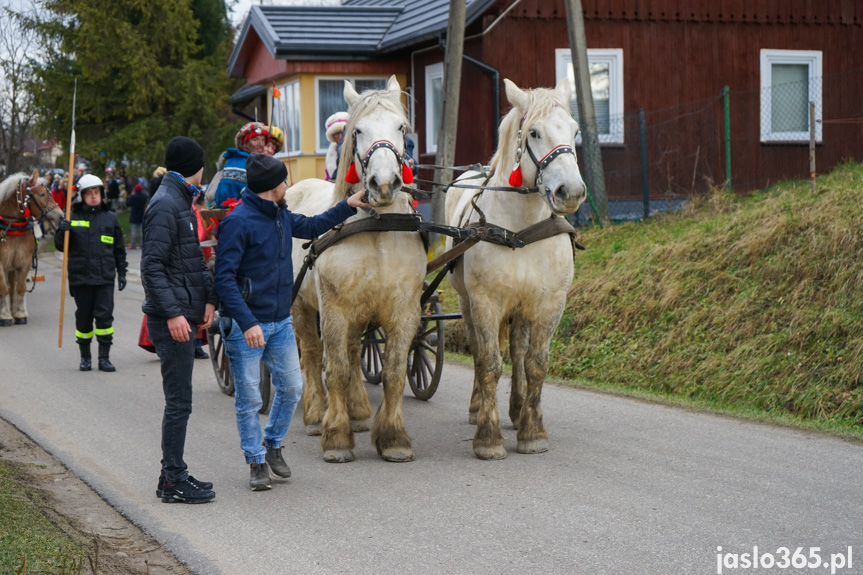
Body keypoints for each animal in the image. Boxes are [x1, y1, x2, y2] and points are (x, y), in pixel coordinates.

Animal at [0, 171, 64, 324]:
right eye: (41, 194)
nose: (61, 215)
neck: (12, 225)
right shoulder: (1, 263)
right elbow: (3, 288)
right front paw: (5, 316)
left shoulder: (24, 261)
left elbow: (20, 287)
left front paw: (20, 314)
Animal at [288, 76, 426, 464]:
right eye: (358, 130)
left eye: (401, 128)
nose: (384, 183)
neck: (378, 228)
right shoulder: (334, 309)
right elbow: (333, 370)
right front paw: (336, 438)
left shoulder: (404, 311)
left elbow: (393, 373)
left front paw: (393, 438)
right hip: (302, 307)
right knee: (311, 356)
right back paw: (316, 415)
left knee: (351, 352)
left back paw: (360, 413)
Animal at [446, 79, 588, 462]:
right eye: (534, 133)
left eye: (574, 131)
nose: (571, 192)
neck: (521, 230)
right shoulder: (485, 302)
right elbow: (489, 363)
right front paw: (488, 437)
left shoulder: (549, 302)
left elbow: (535, 363)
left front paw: (532, 430)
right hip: (467, 303)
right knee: (480, 351)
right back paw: (478, 407)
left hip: (523, 307)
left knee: (518, 352)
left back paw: (517, 408)